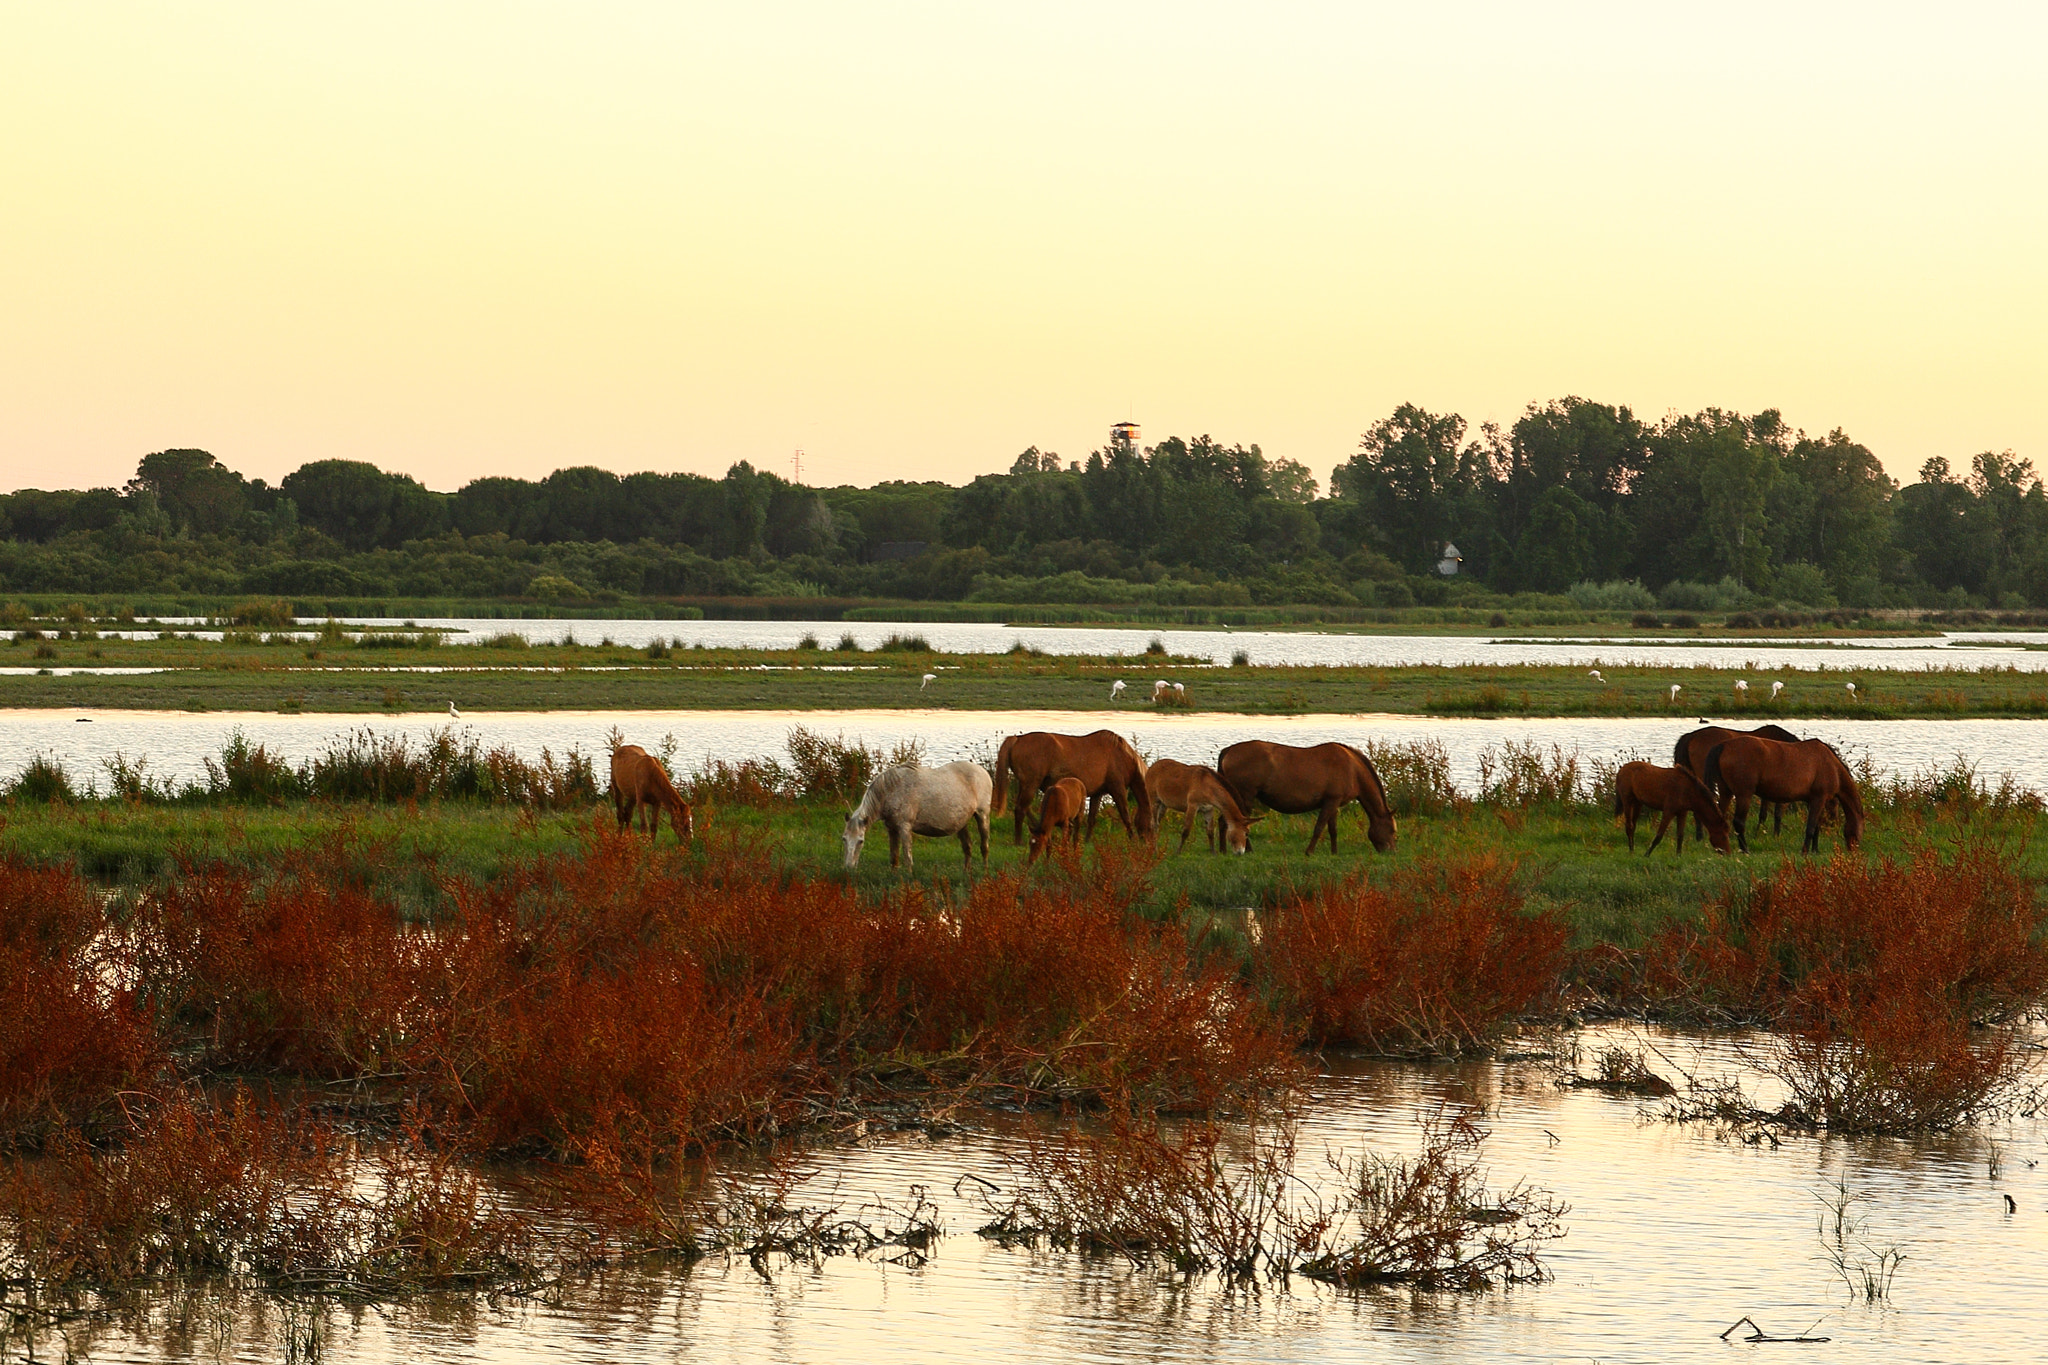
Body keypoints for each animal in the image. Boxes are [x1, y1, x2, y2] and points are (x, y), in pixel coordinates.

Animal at [843, 761, 993, 871]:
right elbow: (894, 858)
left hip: (982, 815)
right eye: (844, 839)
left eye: (861, 841)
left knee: (984, 847)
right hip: (962, 823)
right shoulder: (891, 829)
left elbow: (907, 858)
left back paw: (985, 873)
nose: (849, 867)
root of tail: (983, 771)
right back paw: (966, 872)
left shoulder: (905, 828)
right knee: (967, 847)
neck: (891, 790)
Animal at [991, 730, 1152, 845]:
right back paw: (1018, 841)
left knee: (1024, 808)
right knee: (1020, 810)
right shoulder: (1118, 790)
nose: (1148, 841)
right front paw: (1132, 839)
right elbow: (1125, 816)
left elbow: (1092, 818)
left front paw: (1087, 840)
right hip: (1031, 784)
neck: (1120, 755)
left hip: (1025, 785)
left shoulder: (1097, 794)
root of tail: (1017, 739)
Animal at [1217, 741, 1396, 855]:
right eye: (1393, 830)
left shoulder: (1334, 802)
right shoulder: (1331, 802)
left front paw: (1334, 852)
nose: (1391, 852)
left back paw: (1223, 850)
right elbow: (1319, 827)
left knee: (1224, 821)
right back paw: (1247, 849)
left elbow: (1333, 830)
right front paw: (1309, 851)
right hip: (1245, 796)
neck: (1353, 768)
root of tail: (1229, 750)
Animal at [1704, 736, 1864, 853]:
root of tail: (1724, 745)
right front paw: (1805, 851)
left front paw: (1815, 850)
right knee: (1739, 822)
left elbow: (1816, 826)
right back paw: (1745, 850)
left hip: (1726, 792)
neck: (1832, 765)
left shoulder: (1812, 800)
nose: (1853, 850)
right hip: (1744, 795)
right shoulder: (1819, 798)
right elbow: (1811, 827)